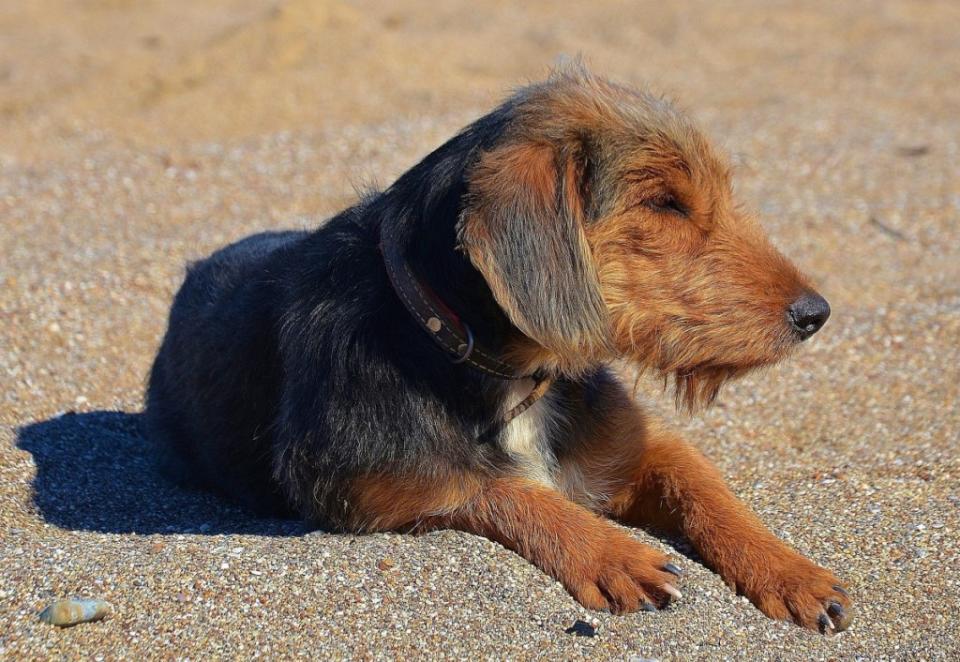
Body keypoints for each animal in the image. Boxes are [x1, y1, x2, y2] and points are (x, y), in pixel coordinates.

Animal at [148, 67, 856, 632]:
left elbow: (707, 487)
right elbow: (499, 486)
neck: (515, 376)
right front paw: (611, 550)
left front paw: (789, 569)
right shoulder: (366, 486)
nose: (815, 314)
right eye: (664, 203)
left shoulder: (632, 447)